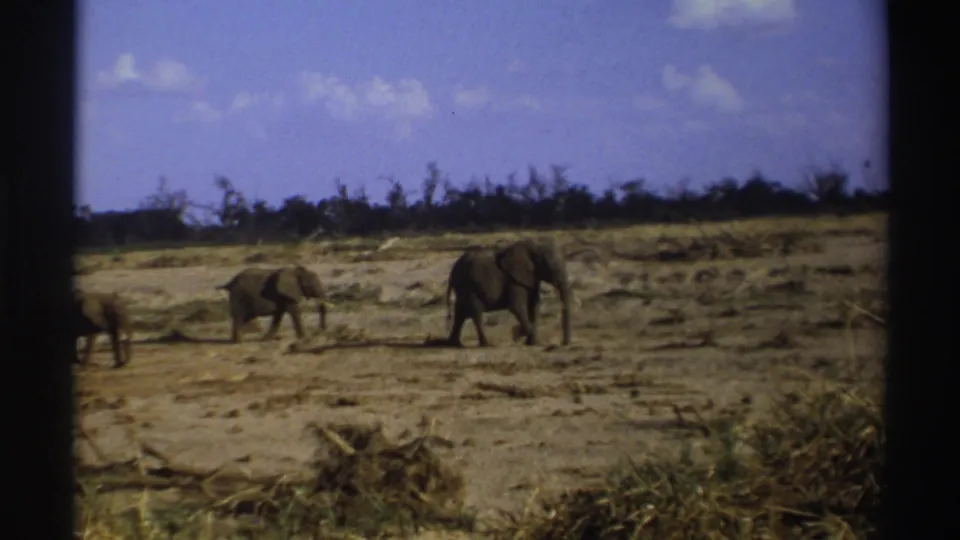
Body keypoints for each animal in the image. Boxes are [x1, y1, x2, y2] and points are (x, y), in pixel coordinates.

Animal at [444, 239, 573, 348]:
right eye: (556, 270)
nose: (563, 343)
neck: (535, 246)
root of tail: (451, 274)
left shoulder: (531, 278)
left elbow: (534, 306)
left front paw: (528, 341)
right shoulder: (513, 281)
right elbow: (517, 307)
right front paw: (524, 337)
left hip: (463, 287)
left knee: (461, 313)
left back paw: (454, 344)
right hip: (468, 285)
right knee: (475, 311)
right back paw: (486, 344)